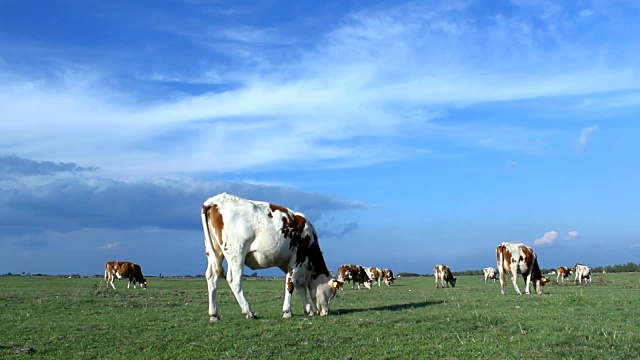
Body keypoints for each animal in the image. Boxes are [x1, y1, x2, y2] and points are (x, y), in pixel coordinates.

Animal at [201, 193, 344, 322]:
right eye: (333, 293)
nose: (326, 312)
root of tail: (216, 200)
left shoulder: (289, 265)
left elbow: (299, 287)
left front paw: (308, 310)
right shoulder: (297, 260)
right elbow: (290, 285)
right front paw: (287, 312)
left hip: (214, 252)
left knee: (211, 277)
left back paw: (214, 315)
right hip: (237, 253)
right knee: (234, 280)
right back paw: (249, 312)